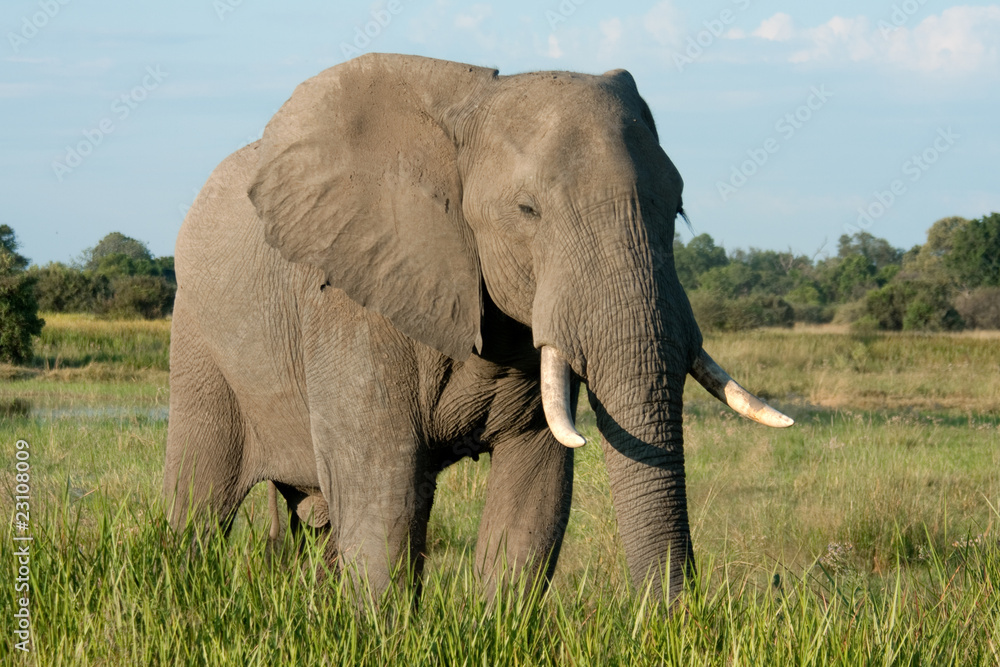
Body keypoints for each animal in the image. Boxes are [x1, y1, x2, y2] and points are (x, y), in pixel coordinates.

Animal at [162, 52, 788, 604]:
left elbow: (534, 494)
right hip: (197, 336)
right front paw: (383, 633)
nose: (673, 620)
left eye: (677, 208)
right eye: (528, 210)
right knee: (200, 498)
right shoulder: (354, 298)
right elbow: (383, 488)